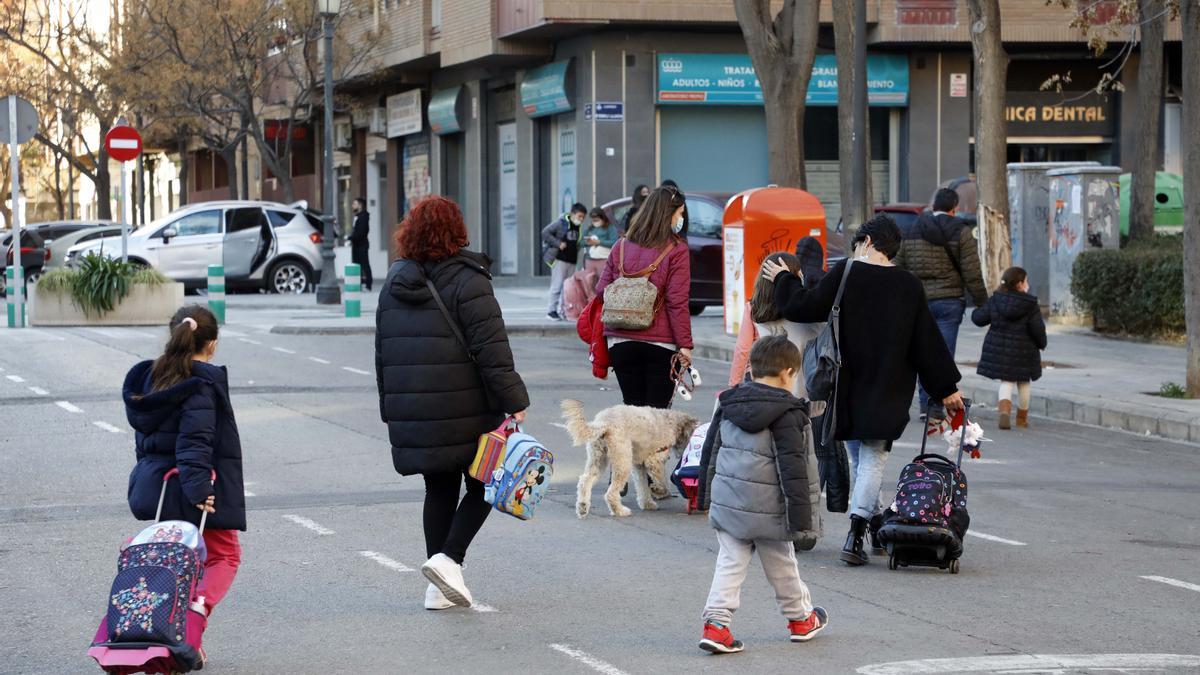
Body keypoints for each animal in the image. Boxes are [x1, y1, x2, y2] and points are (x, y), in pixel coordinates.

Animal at [564, 396, 700, 516]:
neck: (673, 423)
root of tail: (604, 422)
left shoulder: (639, 465)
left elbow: (642, 485)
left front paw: (647, 503)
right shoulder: (654, 461)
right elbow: (663, 482)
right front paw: (659, 491)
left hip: (598, 458)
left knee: (585, 481)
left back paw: (582, 507)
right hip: (623, 461)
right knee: (610, 494)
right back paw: (620, 511)